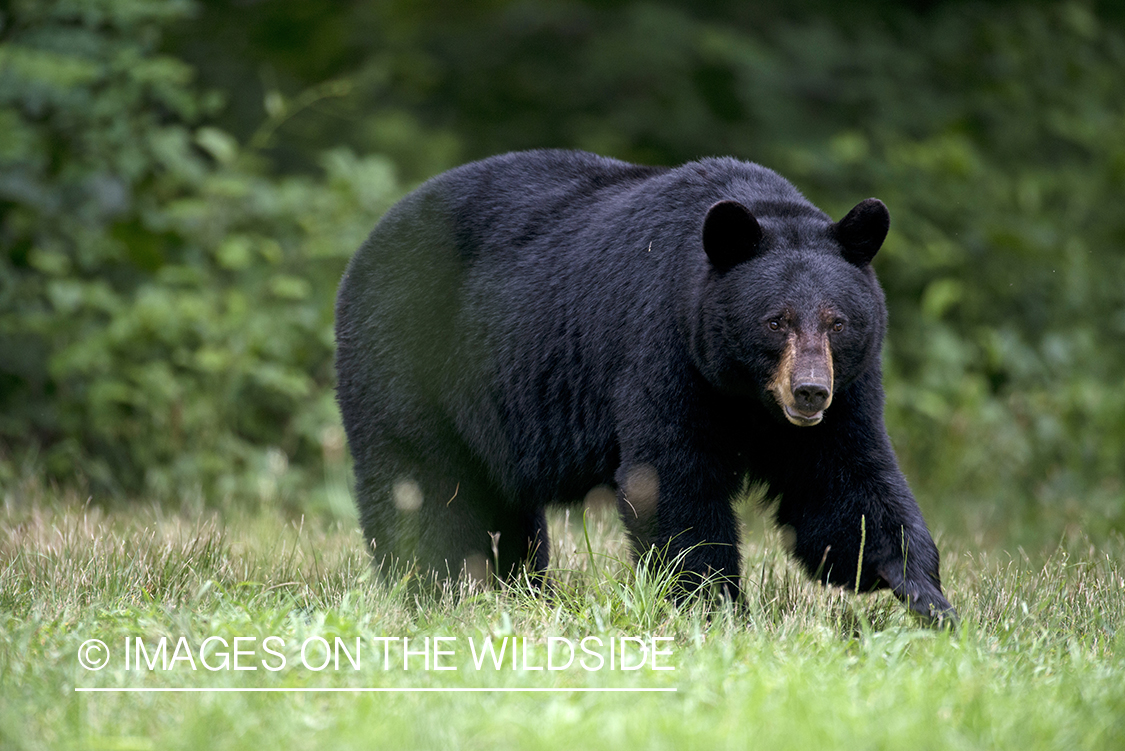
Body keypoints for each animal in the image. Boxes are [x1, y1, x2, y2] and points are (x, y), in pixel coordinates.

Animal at [335, 148, 958, 620]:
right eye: (775, 320)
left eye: (838, 322)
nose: (808, 391)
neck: (746, 393)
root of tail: (367, 245)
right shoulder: (662, 349)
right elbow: (673, 481)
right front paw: (713, 606)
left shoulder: (847, 390)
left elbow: (845, 481)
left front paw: (926, 595)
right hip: (411, 358)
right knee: (420, 486)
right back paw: (429, 589)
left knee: (503, 507)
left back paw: (519, 592)